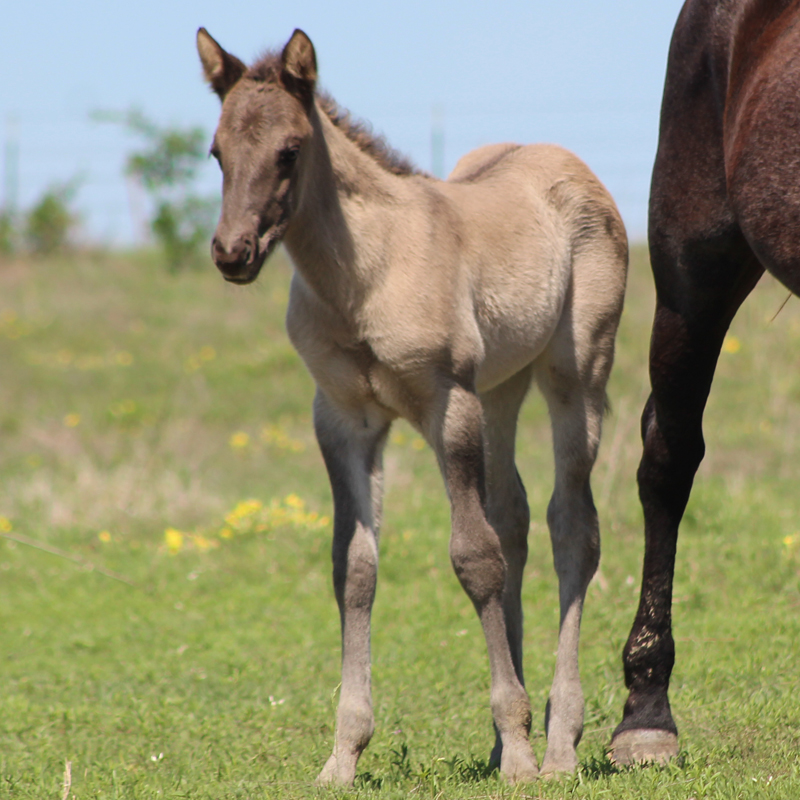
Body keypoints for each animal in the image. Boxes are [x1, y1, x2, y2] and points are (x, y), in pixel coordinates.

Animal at [196, 27, 628, 784]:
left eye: (290, 150)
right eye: (218, 151)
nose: (232, 251)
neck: (365, 273)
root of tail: (568, 161)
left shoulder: (446, 403)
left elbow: (474, 557)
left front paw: (521, 753)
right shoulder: (343, 419)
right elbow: (355, 568)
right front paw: (343, 755)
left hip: (576, 376)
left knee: (572, 528)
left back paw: (558, 746)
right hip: (500, 389)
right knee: (515, 518)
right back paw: (508, 739)